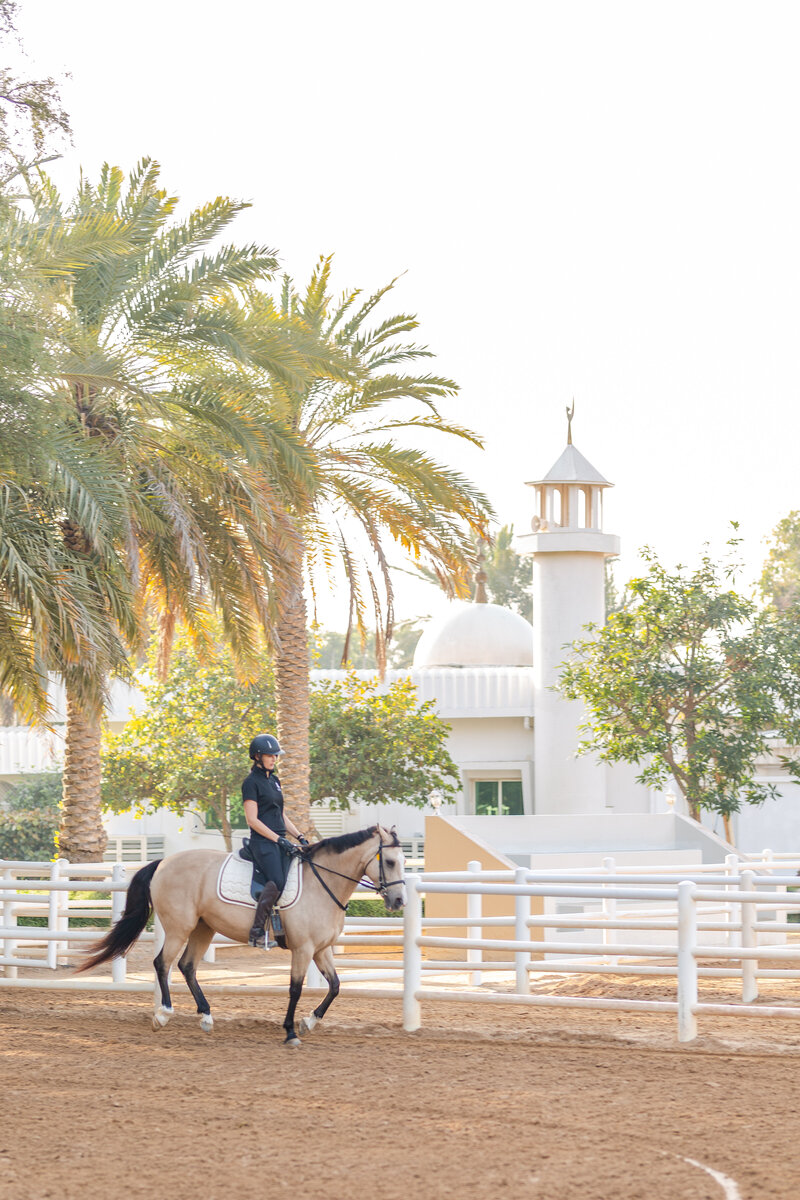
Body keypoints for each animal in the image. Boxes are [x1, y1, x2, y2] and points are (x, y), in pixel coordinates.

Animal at [76, 820, 407, 1046]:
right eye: (390, 862)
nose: (399, 901)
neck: (322, 883)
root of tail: (163, 862)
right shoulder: (303, 949)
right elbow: (295, 989)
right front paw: (290, 1031)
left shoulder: (321, 949)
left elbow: (335, 986)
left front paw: (308, 1023)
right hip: (179, 927)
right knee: (162, 963)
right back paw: (163, 1014)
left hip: (203, 928)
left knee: (186, 966)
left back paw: (206, 1016)